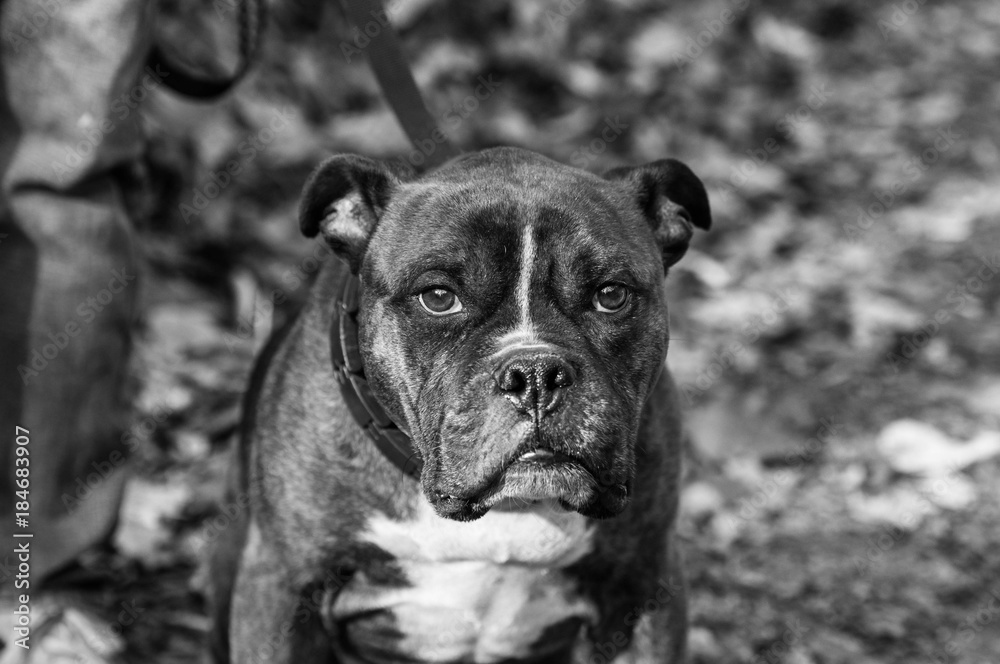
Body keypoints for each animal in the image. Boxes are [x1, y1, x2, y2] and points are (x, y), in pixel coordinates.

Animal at [211, 147, 712, 664]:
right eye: (438, 298)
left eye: (611, 295)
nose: (535, 374)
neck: (510, 509)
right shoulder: (281, 588)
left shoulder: (640, 590)